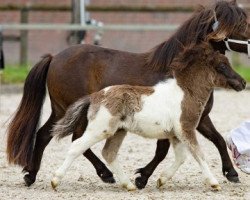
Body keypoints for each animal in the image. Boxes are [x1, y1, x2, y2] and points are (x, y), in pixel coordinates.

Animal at [51, 43, 245, 191]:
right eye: (222, 66)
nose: (242, 82)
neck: (185, 93)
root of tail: (94, 97)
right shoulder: (186, 129)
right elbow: (199, 154)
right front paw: (214, 182)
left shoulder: (176, 134)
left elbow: (181, 157)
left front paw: (161, 180)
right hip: (100, 129)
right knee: (77, 146)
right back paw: (55, 180)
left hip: (118, 131)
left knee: (109, 153)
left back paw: (128, 185)